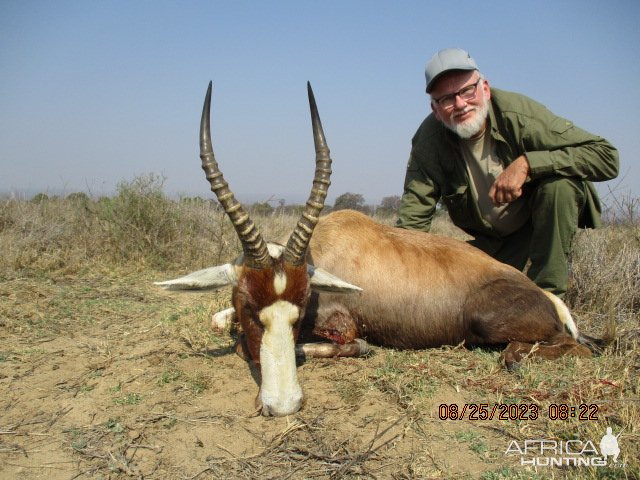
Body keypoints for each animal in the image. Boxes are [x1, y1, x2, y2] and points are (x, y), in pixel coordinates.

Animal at [158, 82, 592, 416]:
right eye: (249, 305)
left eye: (300, 306)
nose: (282, 406)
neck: (328, 245)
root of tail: (548, 297)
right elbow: (221, 322)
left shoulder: (342, 325)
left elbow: (258, 346)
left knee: (552, 350)